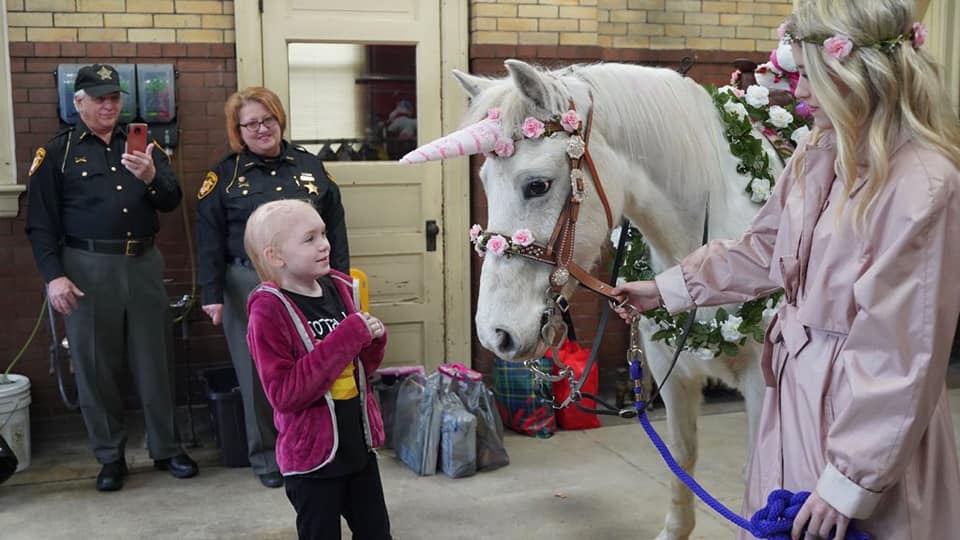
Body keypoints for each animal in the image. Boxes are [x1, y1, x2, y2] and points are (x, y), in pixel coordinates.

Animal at [402, 59, 784, 540]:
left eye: (537, 185)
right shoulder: (671, 373)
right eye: (486, 181)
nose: (495, 334)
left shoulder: (764, 390)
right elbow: (681, 458)